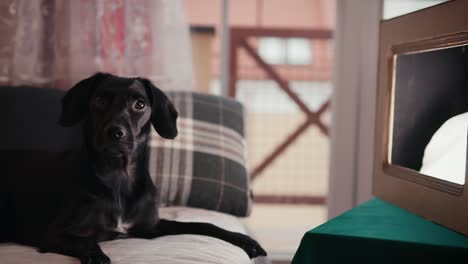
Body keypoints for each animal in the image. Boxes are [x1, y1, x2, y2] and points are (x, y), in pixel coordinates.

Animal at [0, 72, 266, 264]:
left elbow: (202, 225)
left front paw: (244, 240)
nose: (116, 132)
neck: (118, 175)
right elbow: (86, 241)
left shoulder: (148, 227)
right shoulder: (52, 234)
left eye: (140, 104)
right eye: (99, 100)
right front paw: (97, 256)